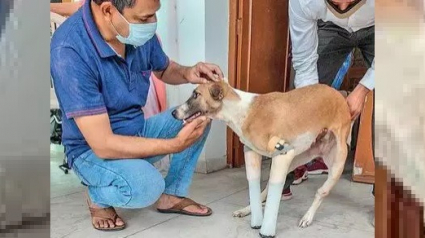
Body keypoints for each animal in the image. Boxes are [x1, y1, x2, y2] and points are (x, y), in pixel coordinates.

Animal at [172, 80, 352, 238]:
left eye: (196, 94)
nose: (173, 113)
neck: (240, 110)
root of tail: (338, 94)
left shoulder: (284, 154)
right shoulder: (254, 152)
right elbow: (256, 187)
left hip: (336, 164)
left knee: (321, 192)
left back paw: (307, 217)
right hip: (297, 159)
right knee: (264, 191)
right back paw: (246, 210)